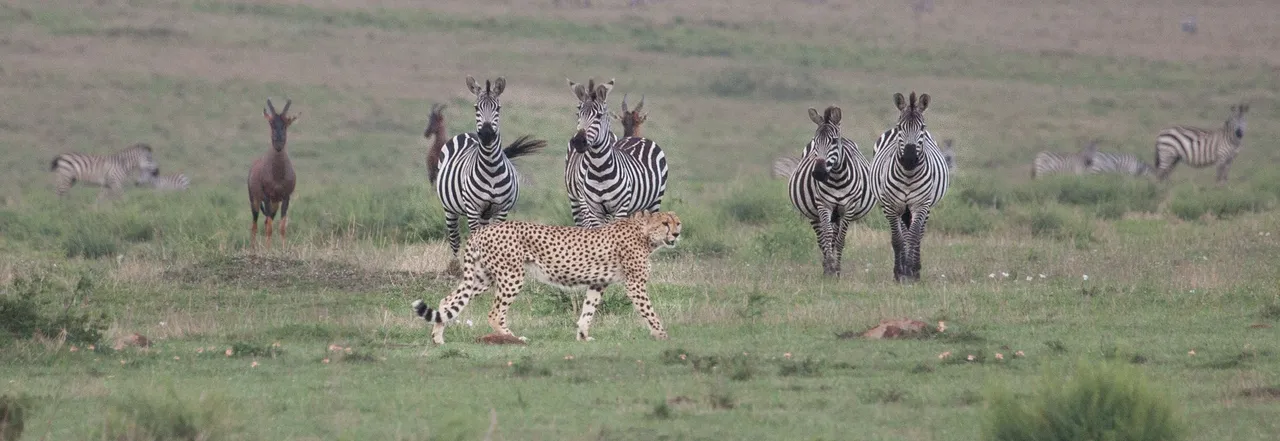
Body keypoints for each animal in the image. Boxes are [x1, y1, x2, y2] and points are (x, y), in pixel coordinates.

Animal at [244, 99, 296, 250]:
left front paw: (283, 249)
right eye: (271, 123)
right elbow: (269, 228)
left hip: (274, 204)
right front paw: (268, 250)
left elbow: (282, 227)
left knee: (267, 221)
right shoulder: (266, 197)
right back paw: (253, 248)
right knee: (255, 225)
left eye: (286, 124)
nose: (278, 145)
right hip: (255, 201)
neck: (277, 174)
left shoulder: (285, 198)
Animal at [414, 209, 686, 342]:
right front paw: (662, 335)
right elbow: (649, 312)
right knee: (494, 313)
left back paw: (438, 339)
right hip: (512, 275)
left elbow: (588, 311)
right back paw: (514, 338)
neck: (644, 235)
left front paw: (582, 336)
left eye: (678, 222)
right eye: (665, 223)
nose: (676, 234)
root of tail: (483, 229)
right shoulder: (635, 284)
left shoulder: (598, 283)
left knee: (448, 301)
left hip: (483, 277)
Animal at [565, 78, 675, 226]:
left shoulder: (620, 209)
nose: (578, 141)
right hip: (576, 200)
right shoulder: (594, 210)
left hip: (655, 201)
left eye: (599, 115)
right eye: (578, 114)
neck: (599, 171)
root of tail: (638, 138)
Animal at [778, 105, 880, 276]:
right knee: (822, 238)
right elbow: (826, 237)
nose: (818, 173)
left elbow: (839, 240)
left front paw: (837, 269)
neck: (837, 178)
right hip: (813, 212)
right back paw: (826, 266)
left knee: (834, 237)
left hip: (837, 214)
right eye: (816, 142)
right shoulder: (823, 205)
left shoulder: (848, 208)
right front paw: (830, 267)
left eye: (833, 141)